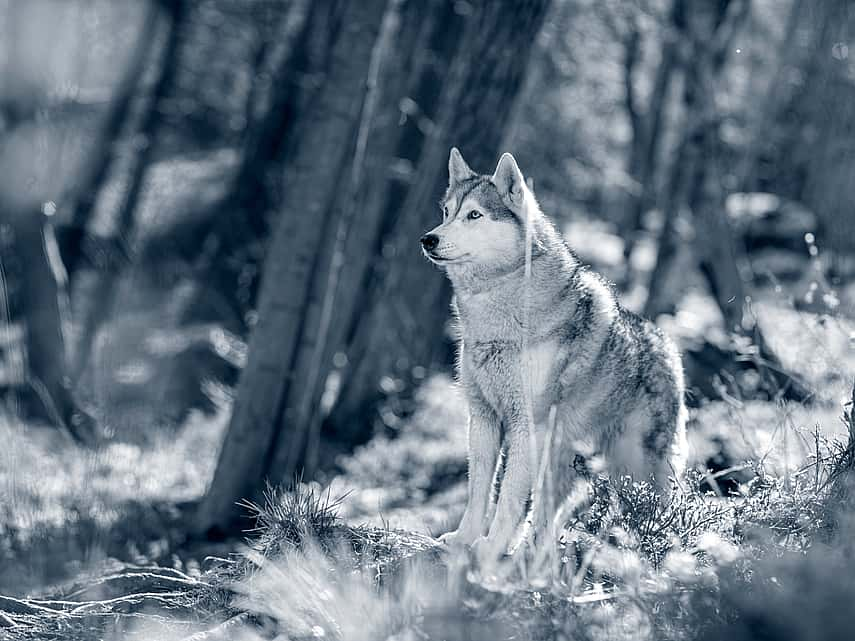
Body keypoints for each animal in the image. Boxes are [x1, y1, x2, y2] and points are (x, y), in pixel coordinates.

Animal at [422, 148, 688, 556]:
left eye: (474, 215)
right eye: (447, 212)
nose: (428, 239)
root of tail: (668, 346)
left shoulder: (525, 425)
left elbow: (508, 498)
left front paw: (489, 547)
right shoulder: (482, 419)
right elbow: (478, 491)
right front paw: (464, 539)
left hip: (635, 467)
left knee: (660, 507)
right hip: (564, 459)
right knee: (548, 515)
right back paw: (532, 552)